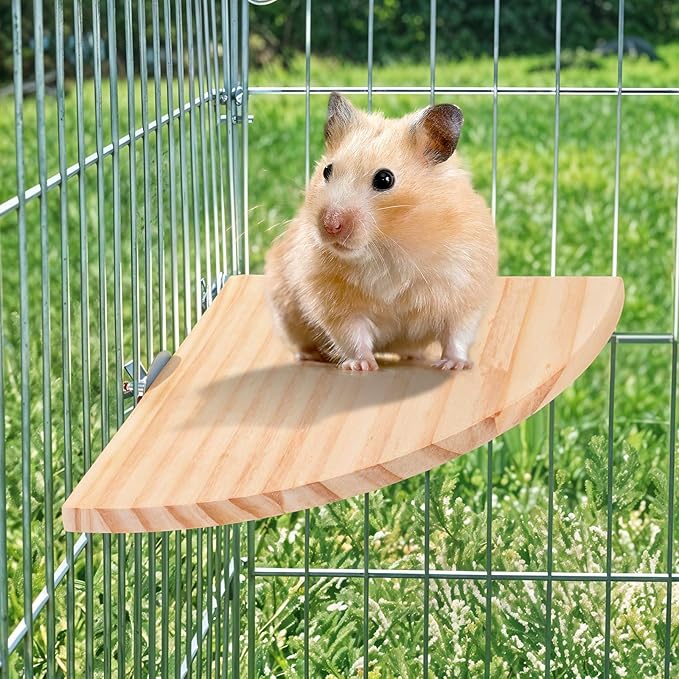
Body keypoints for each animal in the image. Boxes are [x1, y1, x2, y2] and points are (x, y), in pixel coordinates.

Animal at [265, 92, 498, 372]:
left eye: (385, 179)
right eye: (326, 171)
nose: (330, 225)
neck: (388, 246)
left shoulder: (465, 289)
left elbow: (458, 333)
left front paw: (454, 365)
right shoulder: (334, 302)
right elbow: (352, 334)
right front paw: (361, 366)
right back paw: (312, 356)